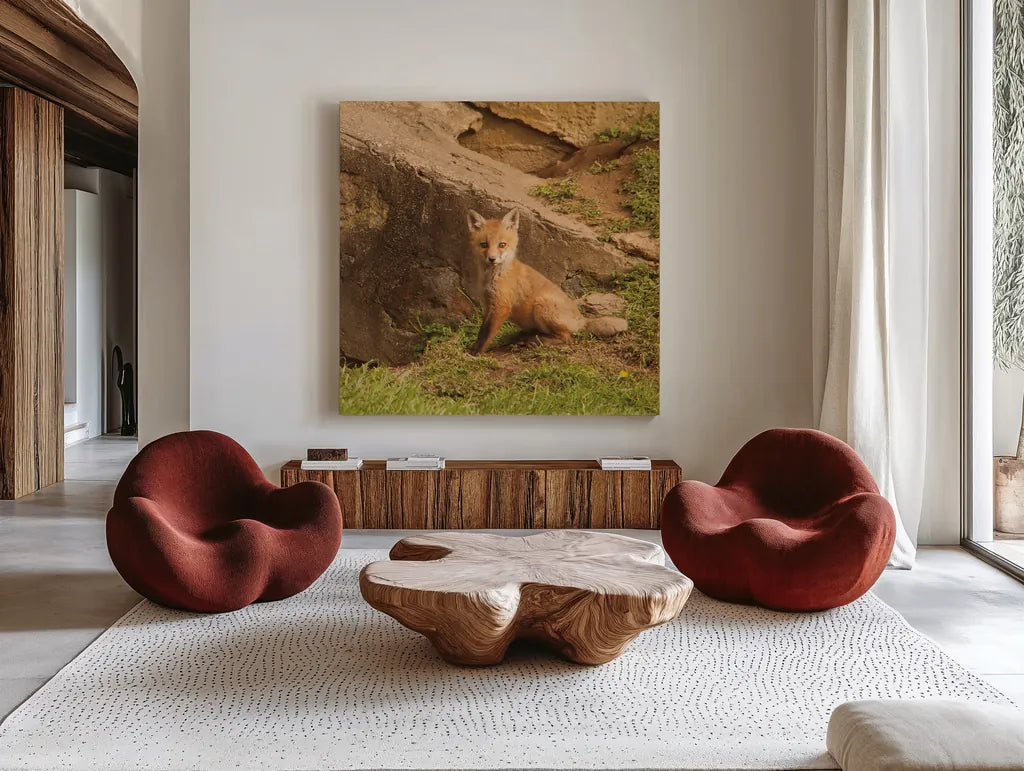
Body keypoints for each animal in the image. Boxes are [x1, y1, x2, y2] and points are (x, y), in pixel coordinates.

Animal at [466, 208, 628, 355]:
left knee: (567, 339)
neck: (493, 276)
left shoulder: (501, 306)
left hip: (542, 305)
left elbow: (487, 334)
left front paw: (476, 353)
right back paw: (525, 338)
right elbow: (482, 331)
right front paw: (474, 349)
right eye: (484, 245)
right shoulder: (488, 304)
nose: (492, 259)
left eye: (502, 245)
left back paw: (537, 342)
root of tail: (581, 319)